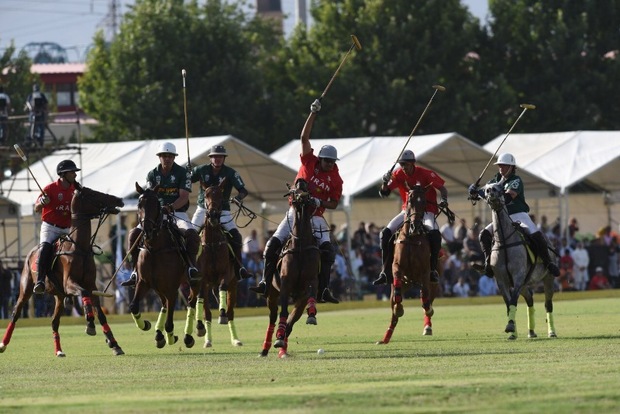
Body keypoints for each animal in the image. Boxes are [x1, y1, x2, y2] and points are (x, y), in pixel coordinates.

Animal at [0, 183, 124, 358]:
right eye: (93, 194)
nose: (119, 199)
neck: (79, 248)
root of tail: (31, 252)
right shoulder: (70, 283)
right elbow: (84, 293)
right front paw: (89, 324)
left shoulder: (91, 285)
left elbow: (100, 313)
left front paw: (114, 344)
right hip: (26, 287)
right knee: (15, 314)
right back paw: (3, 344)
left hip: (59, 296)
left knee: (54, 322)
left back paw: (58, 350)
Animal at [129, 183, 199, 348]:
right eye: (139, 204)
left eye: (156, 204)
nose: (147, 230)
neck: (155, 248)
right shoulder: (143, 282)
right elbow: (134, 306)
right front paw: (146, 325)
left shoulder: (172, 288)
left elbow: (169, 322)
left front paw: (172, 337)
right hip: (158, 287)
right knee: (164, 304)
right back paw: (159, 335)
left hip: (194, 281)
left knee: (191, 302)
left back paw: (188, 336)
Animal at [183, 180, 243, 348]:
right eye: (206, 195)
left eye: (221, 195)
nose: (213, 215)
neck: (212, 243)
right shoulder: (203, 280)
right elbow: (206, 311)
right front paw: (204, 335)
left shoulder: (226, 274)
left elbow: (223, 288)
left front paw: (221, 315)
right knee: (197, 303)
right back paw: (203, 333)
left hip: (233, 285)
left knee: (230, 312)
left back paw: (235, 339)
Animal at [260, 180, 322, 358]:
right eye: (293, 190)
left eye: (308, 190)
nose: (302, 197)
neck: (300, 244)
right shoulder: (286, 283)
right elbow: (284, 313)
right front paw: (278, 337)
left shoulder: (311, 280)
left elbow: (310, 295)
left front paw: (312, 315)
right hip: (272, 294)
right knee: (273, 316)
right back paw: (267, 347)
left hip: (299, 300)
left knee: (293, 319)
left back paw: (283, 345)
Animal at [376, 183, 438, 344]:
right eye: (409, 201)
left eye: (424, 201)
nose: (415, 226)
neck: (411, 238)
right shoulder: (397, 267)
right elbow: (397, 295)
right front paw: (399, 308)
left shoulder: (425, 272)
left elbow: (426, 300)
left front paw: (429, 310)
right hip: (403, 284)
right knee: (394, 312)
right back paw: (385, 337)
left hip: (432, 283)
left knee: (427, 297)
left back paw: (428, 326)